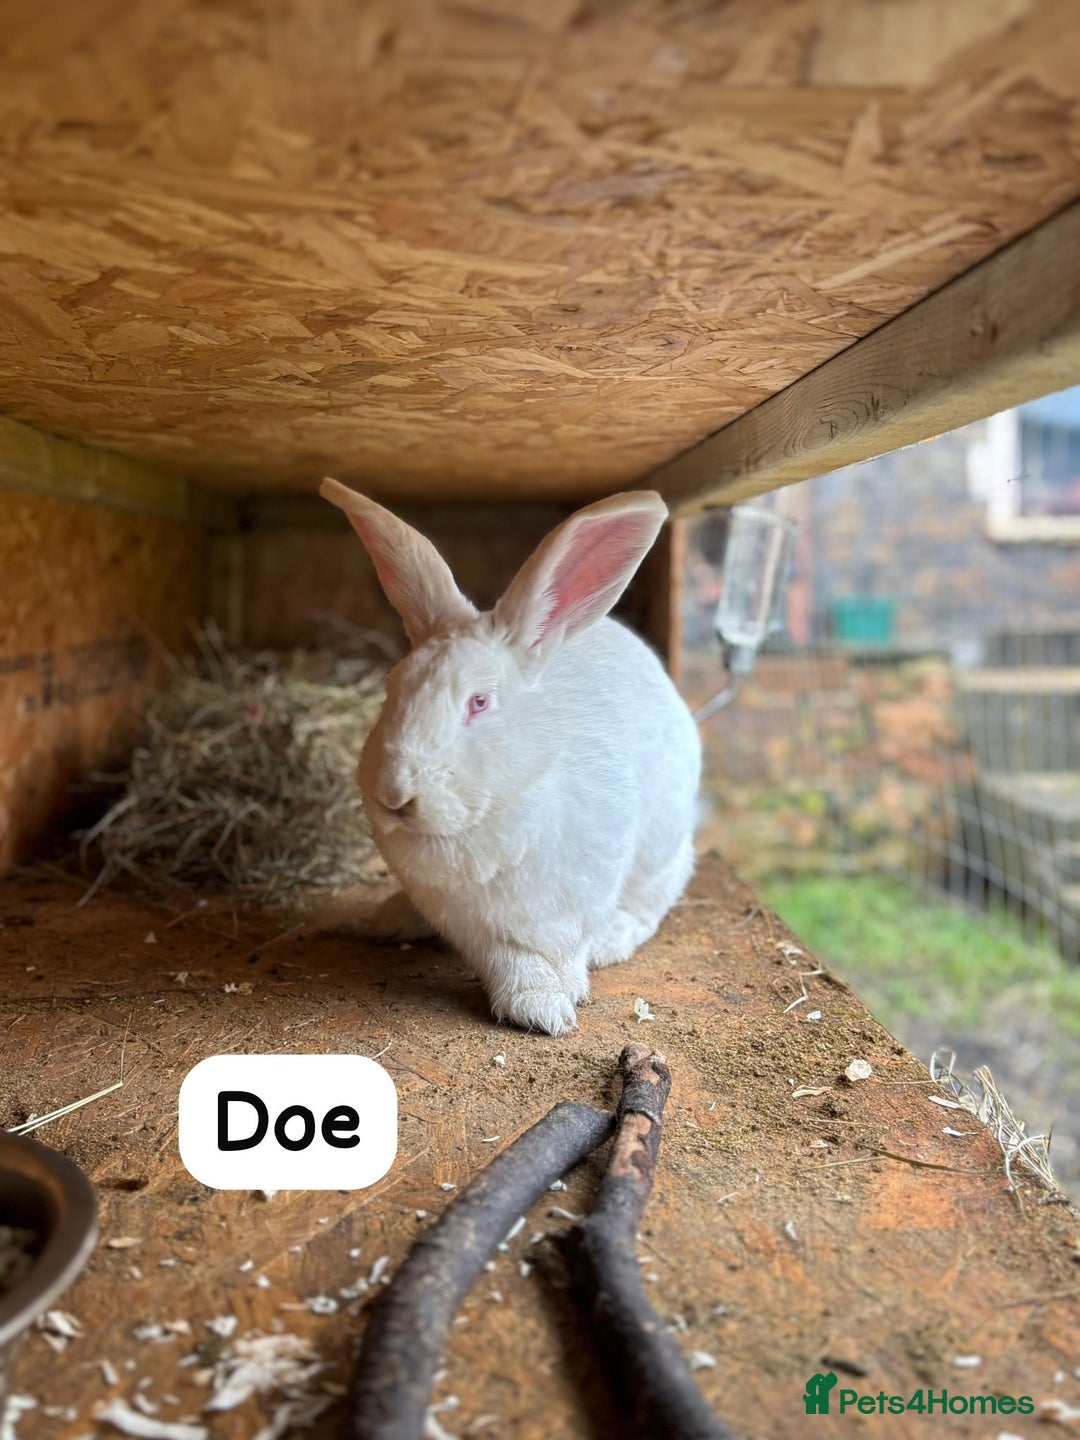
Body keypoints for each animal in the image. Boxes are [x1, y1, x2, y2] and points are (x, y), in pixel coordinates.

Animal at [320, 477, 702, 1037]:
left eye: (479, 702)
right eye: (392, 688)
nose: (395, 794)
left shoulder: (574, 903)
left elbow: (558, 951)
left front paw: (554, 1004)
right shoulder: (473, 923)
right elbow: (510, 960)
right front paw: (538, 1005)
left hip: (663, 843)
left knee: (656, 894)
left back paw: (612, 941)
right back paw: (391, 920)